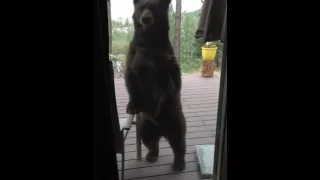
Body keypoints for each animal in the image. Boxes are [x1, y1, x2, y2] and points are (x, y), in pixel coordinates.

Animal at [123, 0, 188, 172]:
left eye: (154, 7)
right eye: (141, 8)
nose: (145, 18)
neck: (148, 40)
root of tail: (161, 129)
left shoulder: (165, 57)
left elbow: (172, 81)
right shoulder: (134, 52)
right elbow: (130, 77)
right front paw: (131, 105)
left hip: (175, 121)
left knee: (179, 142)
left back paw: (179, 163)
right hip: (146, 124)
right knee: (149, 140)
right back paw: (151, 154)